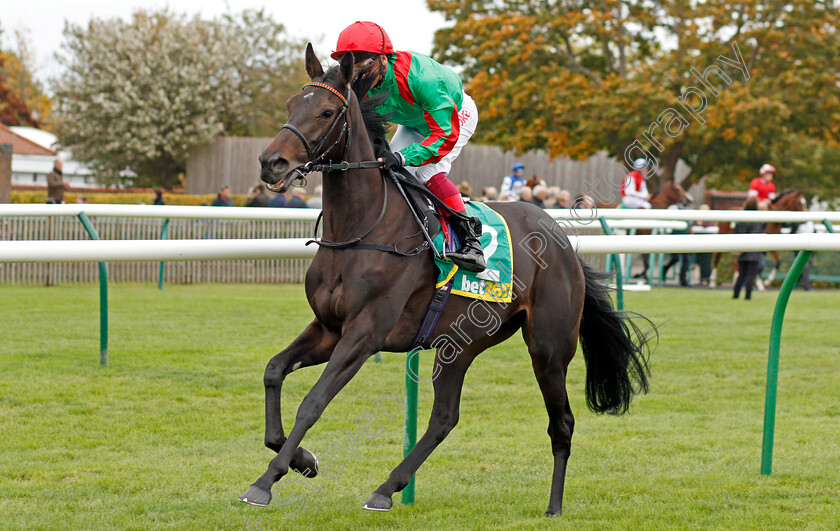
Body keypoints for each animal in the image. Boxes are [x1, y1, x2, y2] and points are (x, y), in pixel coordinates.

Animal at [236, 43, 656, 516]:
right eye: (292, 104)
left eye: (327, 112)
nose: (271, 163)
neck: (362, 229)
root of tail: (561, 239)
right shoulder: (328, 328)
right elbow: (274, 371)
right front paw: (303, 461)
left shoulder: (365, 333)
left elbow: (313, 402)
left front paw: (266, 481)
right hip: (460, 344)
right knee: (444, 418)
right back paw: (386, 488)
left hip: (548, 348)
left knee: (561, 422)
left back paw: (553, 507)